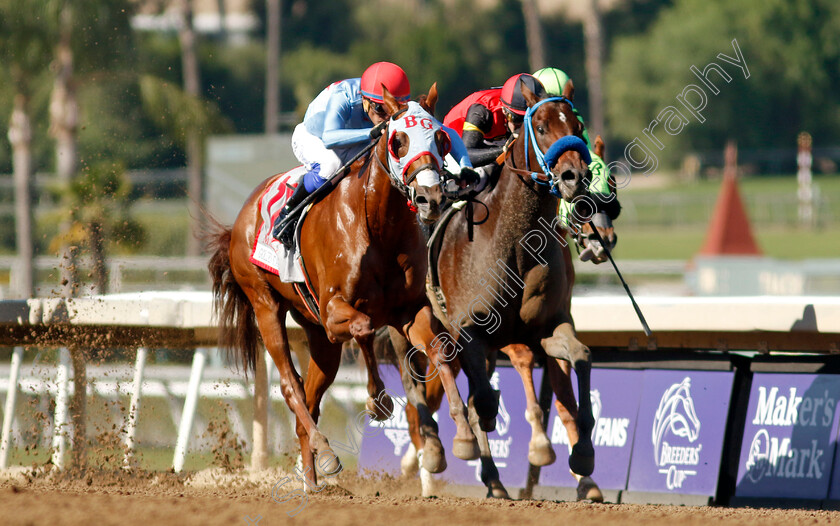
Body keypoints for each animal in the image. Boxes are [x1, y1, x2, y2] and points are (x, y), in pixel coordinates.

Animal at [208, 86, 480, 486]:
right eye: (398, 141)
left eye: (442, 139)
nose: (430, 199)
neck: (379, 227)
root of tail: (242, 216)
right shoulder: (335, 310)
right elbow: (364, 327)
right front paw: (378, 402)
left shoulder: (409, 310)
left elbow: (440, 350)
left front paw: (463, 437)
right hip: (265, 304)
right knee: (291, 386)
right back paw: (325, 453)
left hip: (317, 335)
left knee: (310, 397)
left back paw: (312, 477)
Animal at [390, 80, 612, 502]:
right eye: (540, 126)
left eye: (576, 124)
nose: (574, 177)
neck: (516, 243)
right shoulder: (469, 331)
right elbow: (481, 399)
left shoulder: (548, 326)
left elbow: (582, 358)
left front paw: (583, 455)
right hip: (410, 329)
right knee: (423, 389)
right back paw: (436, 459)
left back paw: (492, 480)